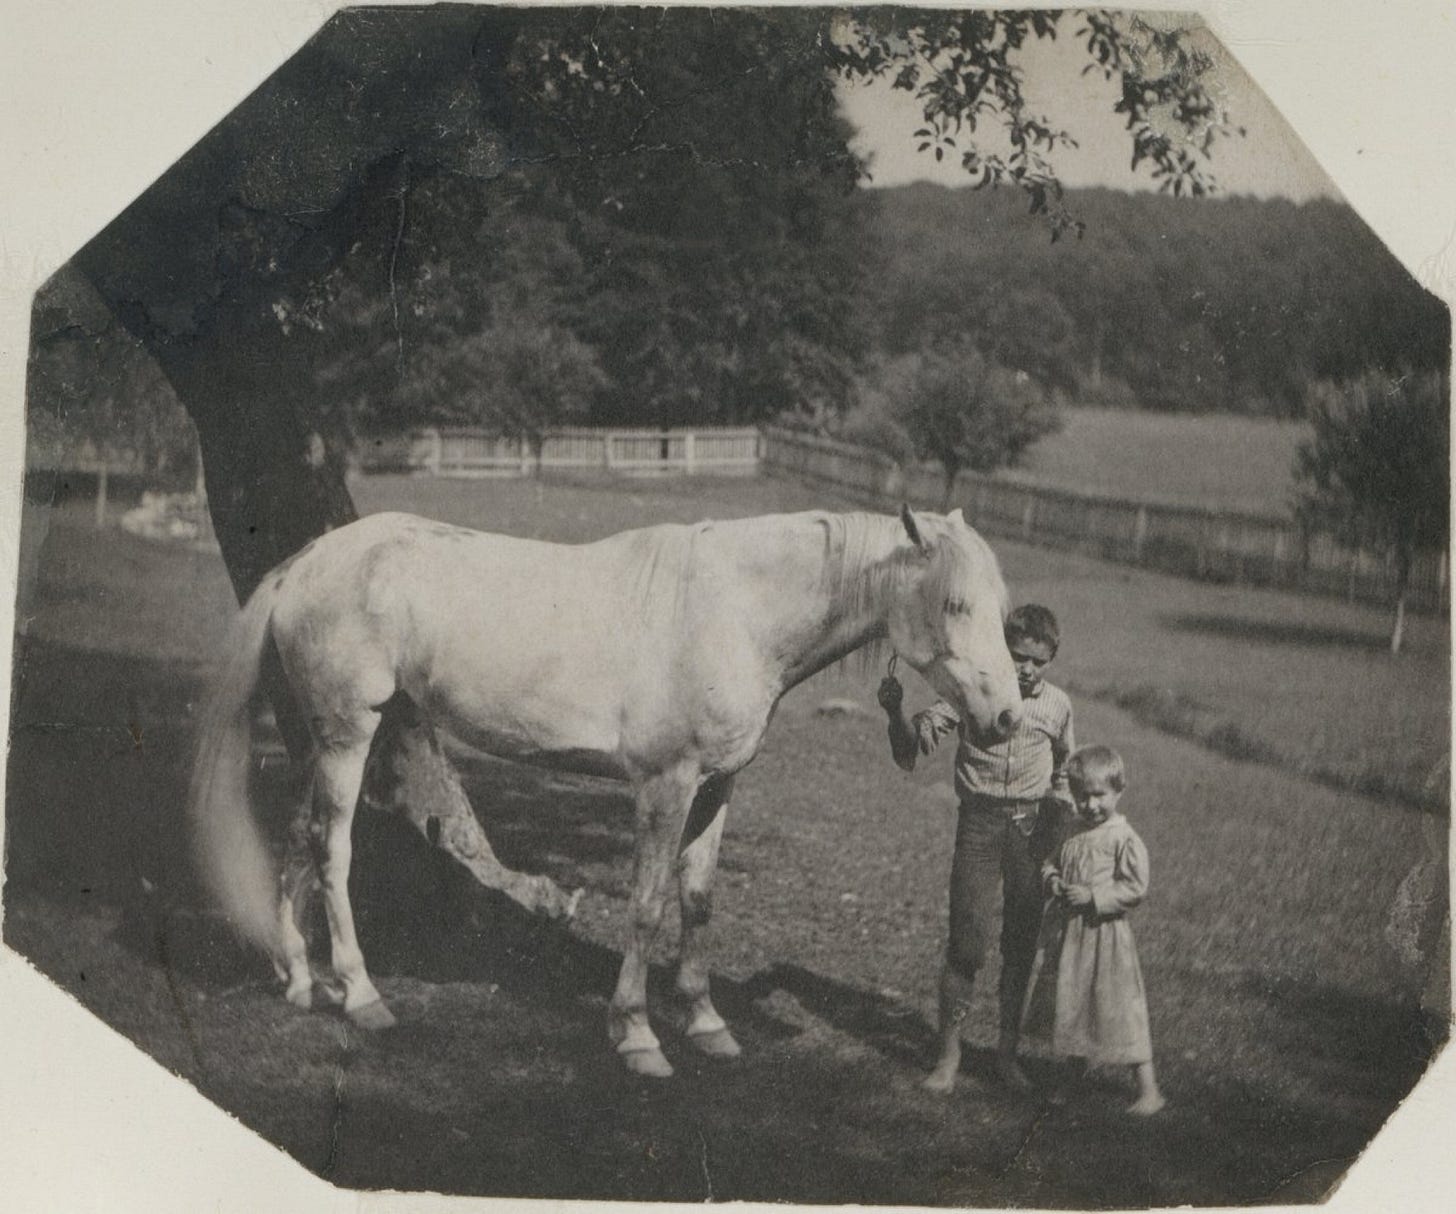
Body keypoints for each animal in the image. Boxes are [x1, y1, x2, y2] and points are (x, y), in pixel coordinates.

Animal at [187, 502, 1022, 1077]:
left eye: (1002, 609)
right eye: (955, 605)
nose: (1007, 718)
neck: (733, 613)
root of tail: (306, 563)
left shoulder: (717, 788)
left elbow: (697, 901)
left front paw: (707, 1025)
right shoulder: (664, 786)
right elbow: (648, 905)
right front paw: (638, 1036)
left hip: (324, 739)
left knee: (298, 839)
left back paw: (300, 980)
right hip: (348, 735)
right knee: (333, 851)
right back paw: (361, 995)